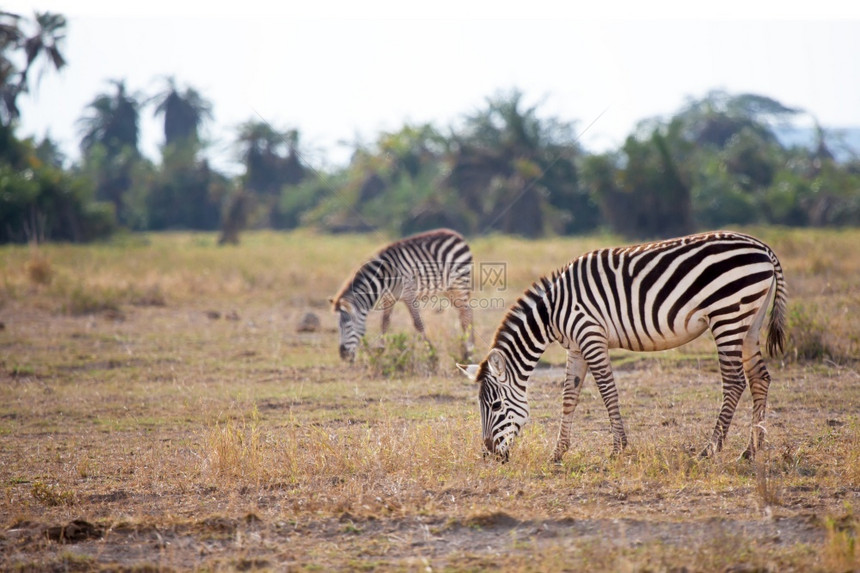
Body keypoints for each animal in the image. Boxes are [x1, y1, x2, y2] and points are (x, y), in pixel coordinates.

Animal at [330, 228, 478, 362]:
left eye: (348, 327)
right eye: (338, 328)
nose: (343, 356)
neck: (385, 278)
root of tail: (456, 235)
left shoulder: (408, 294)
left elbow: (418, 324)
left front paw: (432, 355)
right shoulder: (388, 298)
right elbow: (384, 323)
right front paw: (380, 351)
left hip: (460, 283)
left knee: (467, 314)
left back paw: (469, 353)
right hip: (449, 288)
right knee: (463, 314)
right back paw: (467, 350)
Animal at [456, 230, 788, 462]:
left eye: (495, 406)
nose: (489, 455)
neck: (552, 312)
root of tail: (764, 247)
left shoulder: (590, 335)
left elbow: (607, 391)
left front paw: (617, 448)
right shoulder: (575, 347)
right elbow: (568, 397)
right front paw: (558, 453)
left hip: (728, 315)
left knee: (733, 382)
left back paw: (711, 448)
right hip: (749, 320)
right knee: (760, 378)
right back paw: (752, 450)